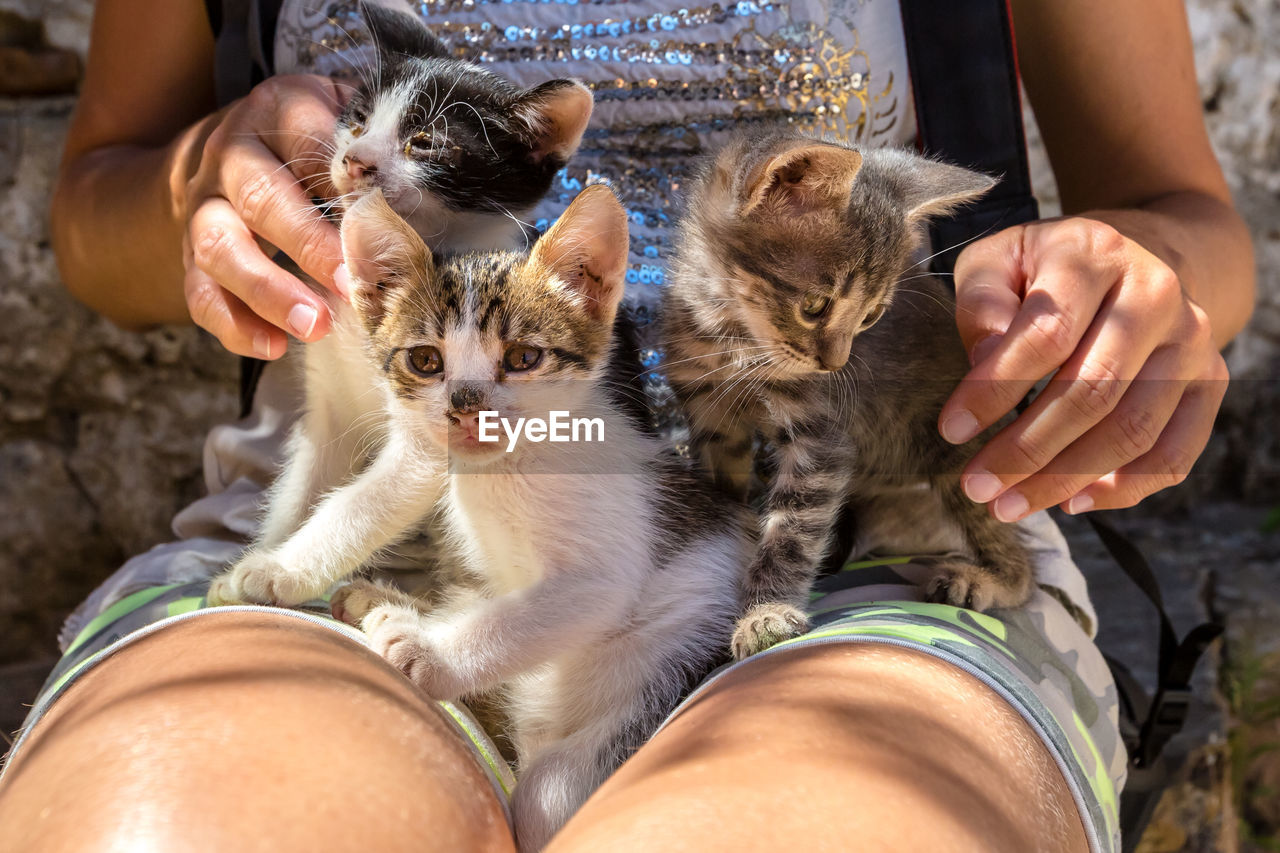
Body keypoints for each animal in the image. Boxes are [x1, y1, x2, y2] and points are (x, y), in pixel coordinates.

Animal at [665, 129, 1034, 655]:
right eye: (814, 306)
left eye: (871, 316)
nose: (836, 364)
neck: (733, 341)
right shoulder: (710, 419)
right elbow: (723, 491)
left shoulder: (820, 441)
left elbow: (792, 533)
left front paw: (764, 614)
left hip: (963, 453)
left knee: (1018, 558)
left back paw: (988, 579)